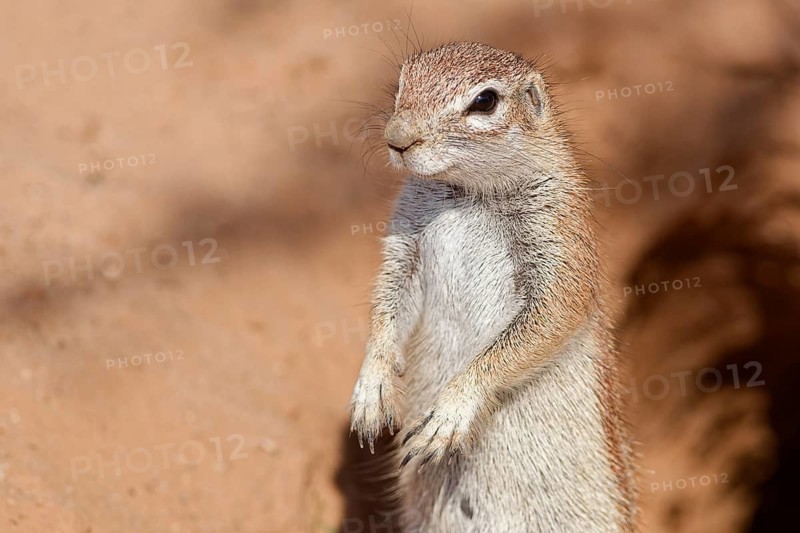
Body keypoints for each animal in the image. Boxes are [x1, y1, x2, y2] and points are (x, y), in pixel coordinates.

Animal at [349, 42, 638, 532]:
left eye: (485, 101)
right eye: (403, 80)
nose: (397, 137)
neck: (469, 194)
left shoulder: (558, 241)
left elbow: (546, 319)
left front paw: (451, 411)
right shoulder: (406, 242)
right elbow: (389, 297)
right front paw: (372, 387)